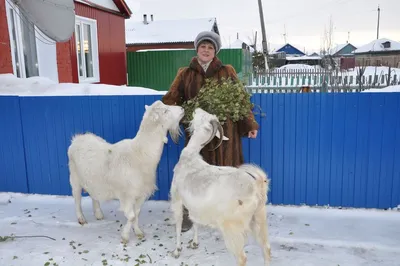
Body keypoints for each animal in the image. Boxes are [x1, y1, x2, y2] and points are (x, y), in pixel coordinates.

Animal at [68, 100, 184, 243]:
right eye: (165, 111)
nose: (182, 109)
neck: (139, 153)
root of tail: (77, 138)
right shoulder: (127, 196)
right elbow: (131, 216)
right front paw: (125, 236)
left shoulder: (140, 194)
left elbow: (137, 214)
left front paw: (138, 232)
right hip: (74, 178)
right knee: (77, 198)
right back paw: (81, 219)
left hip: (92, 180)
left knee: (94, 195)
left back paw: (99, 214)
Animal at [169, 108, 272, 266]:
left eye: (202, 116)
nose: (196, 109)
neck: (190, 158)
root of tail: (257, 186)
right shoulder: (195, 205)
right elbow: (195, 222)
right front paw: (194, 243)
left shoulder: (177, 199)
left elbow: (179, 223)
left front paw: (177, 250)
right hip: (259, 218)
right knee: (266, 248)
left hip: (232, 227)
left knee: (242, 257)